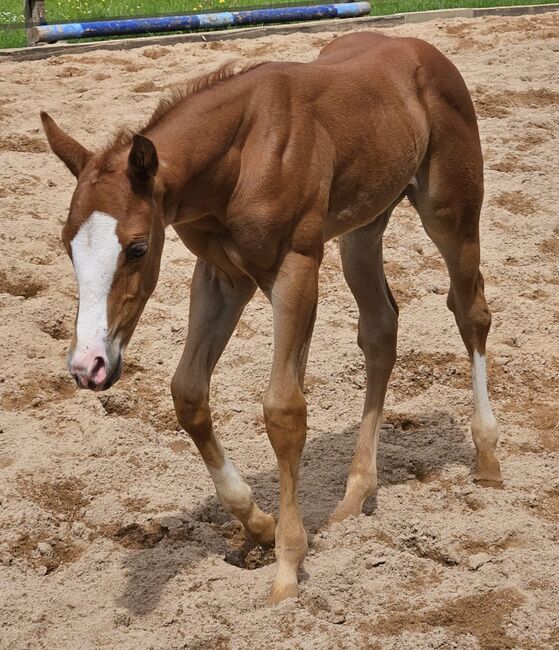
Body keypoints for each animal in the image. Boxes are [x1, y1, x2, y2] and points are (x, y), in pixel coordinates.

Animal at [41, 31, 500, 604]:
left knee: (470, 311)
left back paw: (487, 458)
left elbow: (284, 410)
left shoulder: (295, 266)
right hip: (363, 228)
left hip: (450, 215)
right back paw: (354, 497)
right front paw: (258, 525)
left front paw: (286, 567)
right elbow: (188, 393)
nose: (89, 366)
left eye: (138, 248)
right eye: (67, 246)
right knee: (380, 329)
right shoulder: (220, 276)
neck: (241, 156)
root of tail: (421, 50)